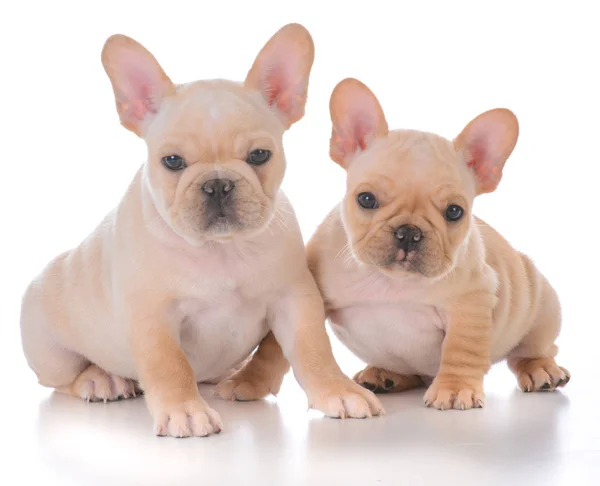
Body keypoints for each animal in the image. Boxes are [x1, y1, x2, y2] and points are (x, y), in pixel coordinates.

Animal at [22, 26, 384, 438]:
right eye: (172, 161)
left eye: (260, 155)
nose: (217, 184)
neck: (220, 249)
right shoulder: (153, 317)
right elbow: (170, 365)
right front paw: (185, 410)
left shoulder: (295, 298)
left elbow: (313, 348)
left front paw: (338, 390)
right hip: (49, 348)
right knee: (59, 380)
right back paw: (99, 379)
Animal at [304, 79, 572, 410]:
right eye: (366, 199)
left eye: (454, 212)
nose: (409, 232)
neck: (392, 282)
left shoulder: (471, 302)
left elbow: (461, 349)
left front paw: (455, 388)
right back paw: (385, 375)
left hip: (543, 306)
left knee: (532, 349)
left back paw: (540, 369)